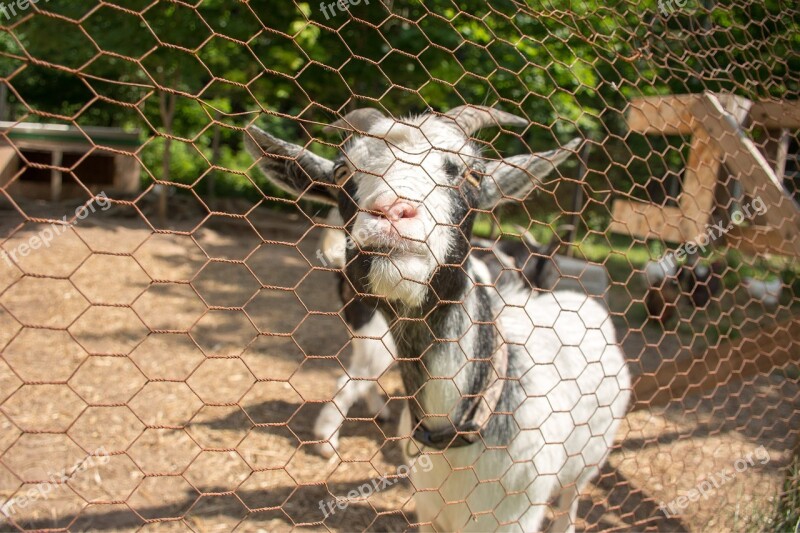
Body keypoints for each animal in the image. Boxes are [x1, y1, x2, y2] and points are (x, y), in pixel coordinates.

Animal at [244, 106, 632, 528]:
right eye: (343, 171)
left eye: (473, 174)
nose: (391, 211)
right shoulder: (428, 510)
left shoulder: (519, 514)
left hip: (586, 463)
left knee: (569, 504)